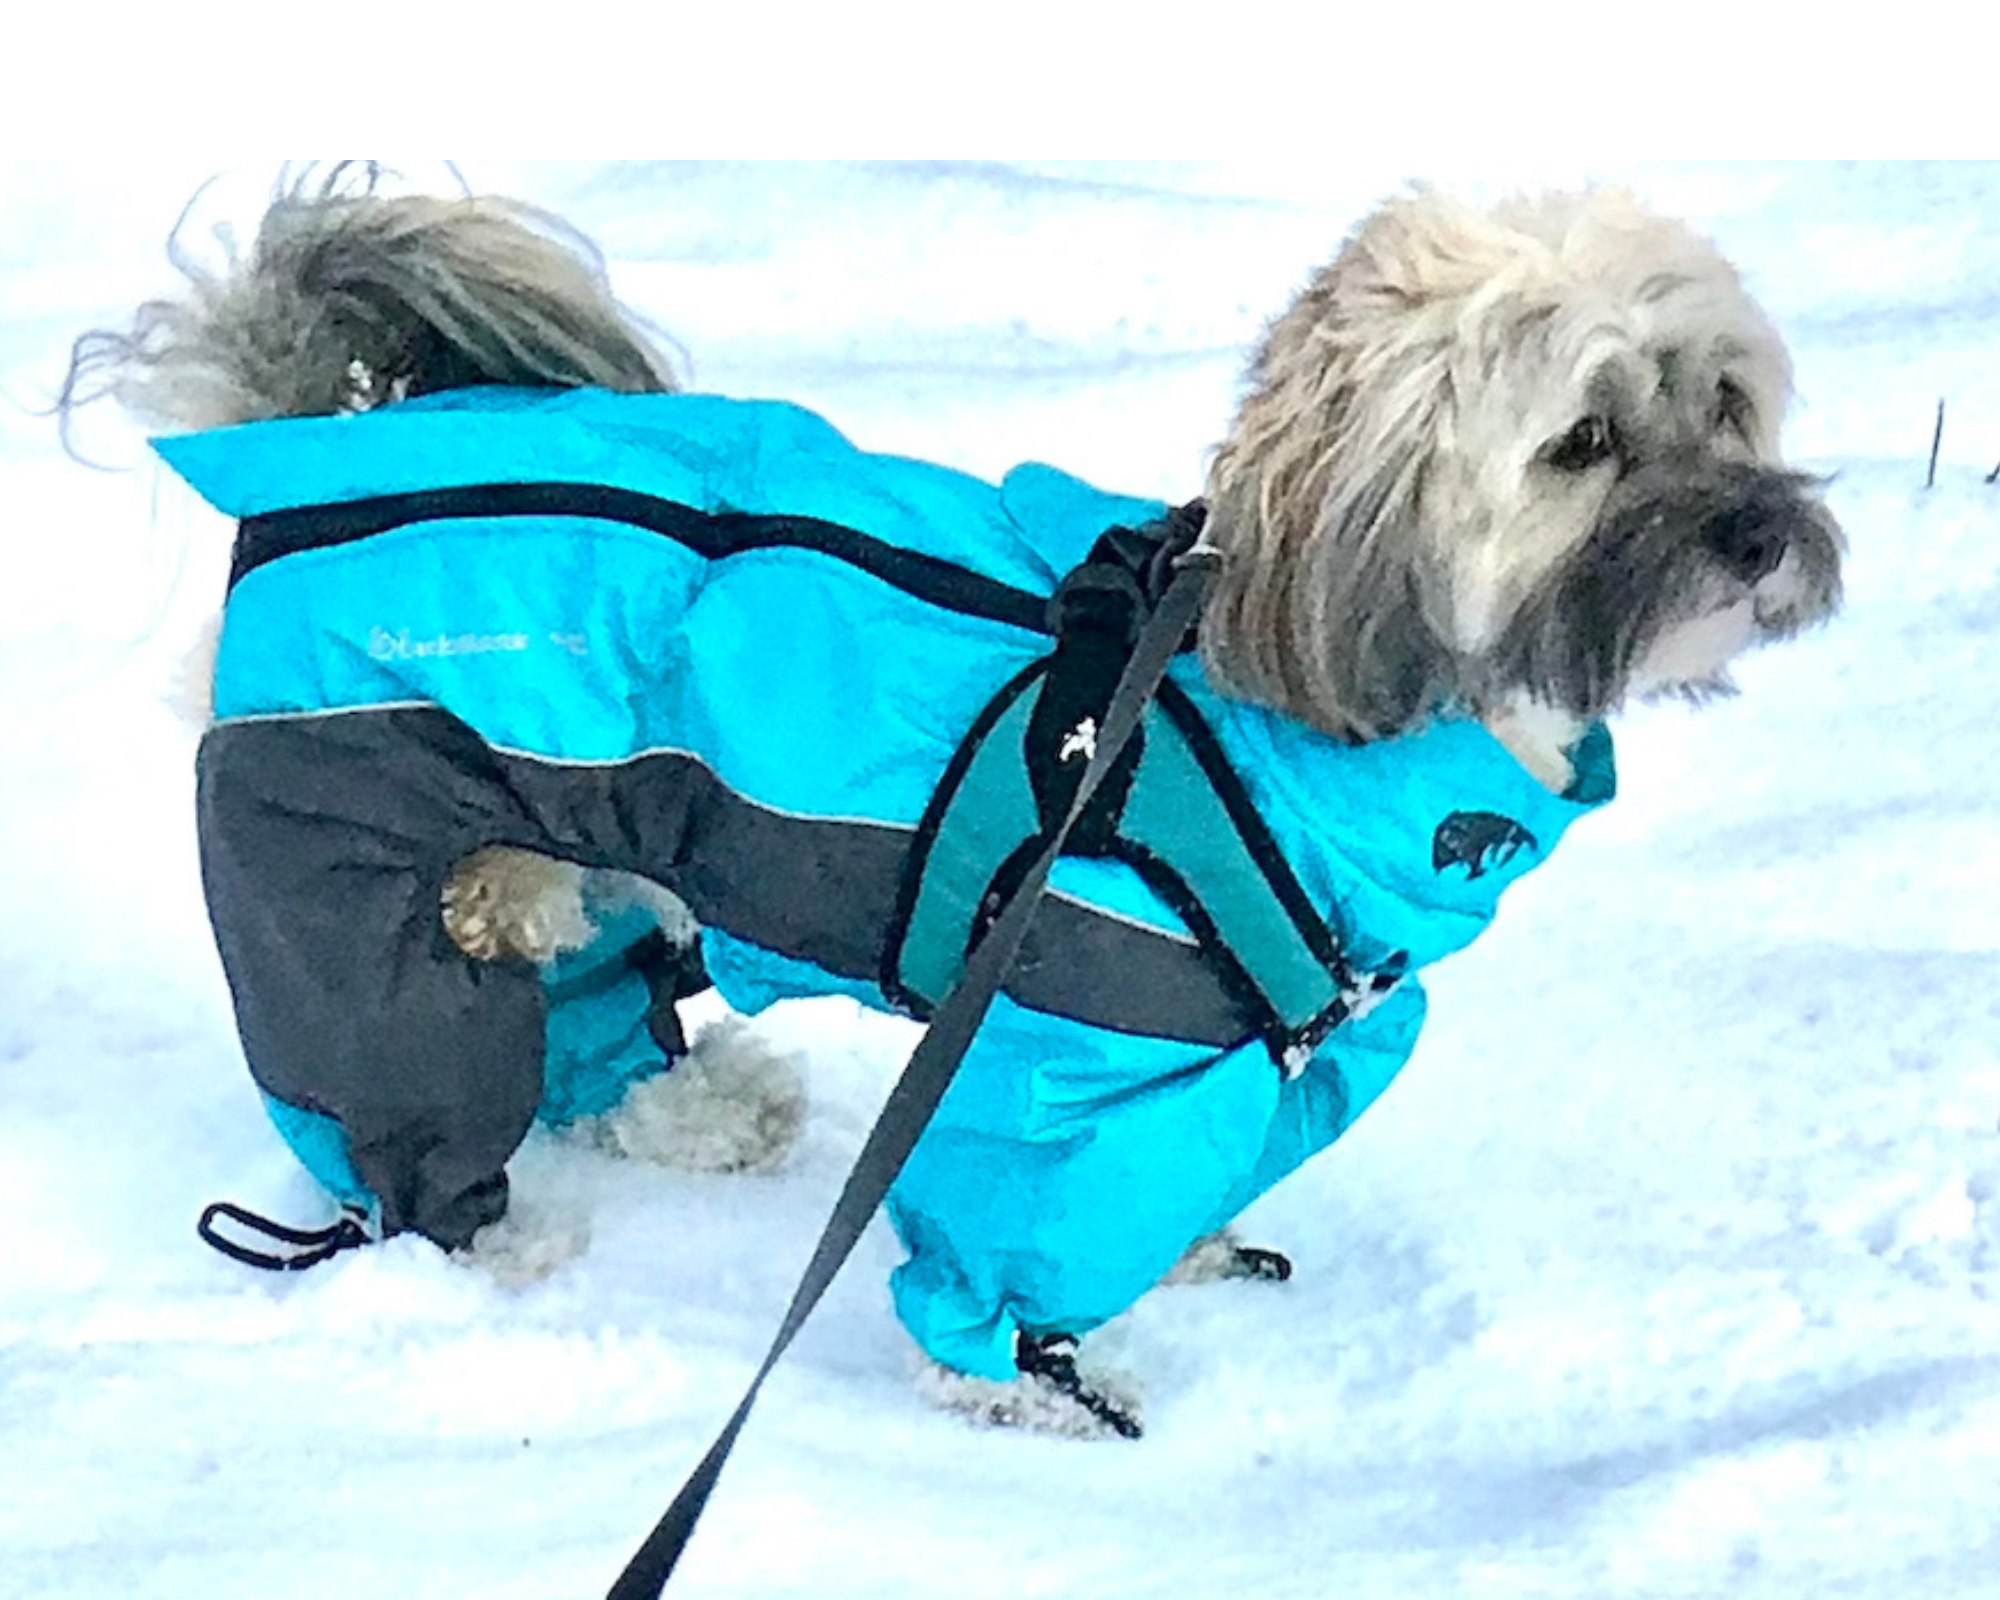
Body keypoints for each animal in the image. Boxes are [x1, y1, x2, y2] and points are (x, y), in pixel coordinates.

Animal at [62, 172, 1840, 1440]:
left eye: (1724, 403)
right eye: (1584, 439)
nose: (1763, 537)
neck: (1267, 688)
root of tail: (323, 437)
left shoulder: (1230, 1070)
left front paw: (1183, 1265)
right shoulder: (1049, 1063)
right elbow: (1016, 1236)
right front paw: (1023, 1382)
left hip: (559, 863)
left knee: (588, 1035)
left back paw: (697, 1115)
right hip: (352, 868)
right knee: (397, 1095)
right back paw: (482, 1246)